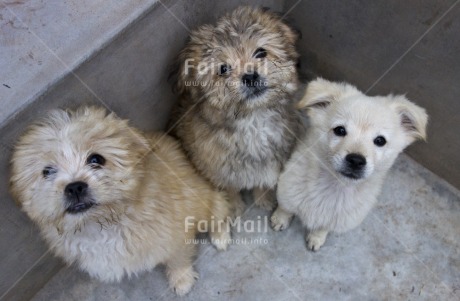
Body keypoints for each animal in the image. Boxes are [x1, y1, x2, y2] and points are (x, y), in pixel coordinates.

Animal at [9, 106, 234, 294]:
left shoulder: (177, 234)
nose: (74, 187)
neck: (104, 224)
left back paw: (220, 236)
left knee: (219, 211)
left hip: (206, 199)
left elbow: (177, 258)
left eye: (96, 159)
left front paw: (182, 279)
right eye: (47, 171)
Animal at [169, 5, 302, 211]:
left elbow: (262, 179)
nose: (250, 76)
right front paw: (235, 206)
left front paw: (263, 198)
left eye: (261, 52)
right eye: (223, 69)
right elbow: (230, 188)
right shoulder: (216, 169)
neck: (254, 120)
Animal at [270, 78, 428, 251]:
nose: (356, 160)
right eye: (339, 130)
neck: (334, 186)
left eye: (380, 140)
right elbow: (285, 208)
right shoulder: (287, 189)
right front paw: (279, 219)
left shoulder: (340, 220)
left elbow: (323, 228)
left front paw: (316, 238)